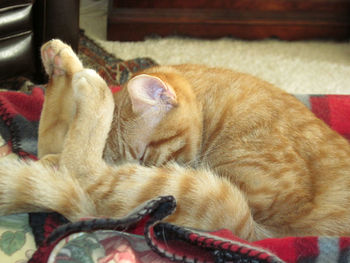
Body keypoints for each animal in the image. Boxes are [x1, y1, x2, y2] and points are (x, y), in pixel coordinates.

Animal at [0, 39, 350, 243]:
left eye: (141, 155)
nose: (131, 166)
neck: (216, 111)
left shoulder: (253, 203)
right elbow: (52, 132)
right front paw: (59, 63)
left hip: (226, 205)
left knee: (87, 174)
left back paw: (93, 87)